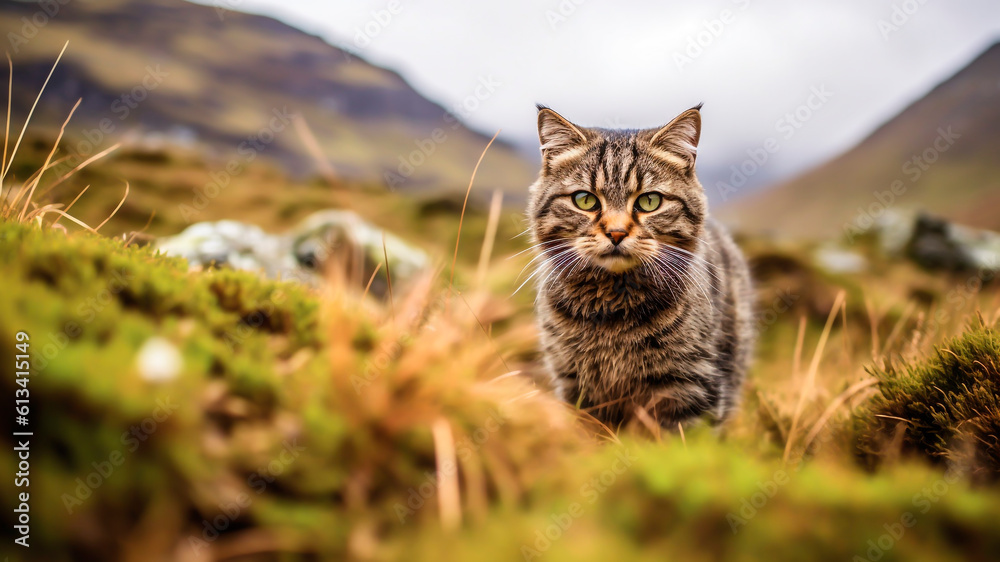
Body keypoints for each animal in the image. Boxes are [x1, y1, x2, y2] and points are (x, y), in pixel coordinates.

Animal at [528, 105, 752, 426]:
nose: (616, 233)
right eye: (584, 200)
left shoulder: (691, 387)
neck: (612, 311)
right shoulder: (575, 384)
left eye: (649, 201)